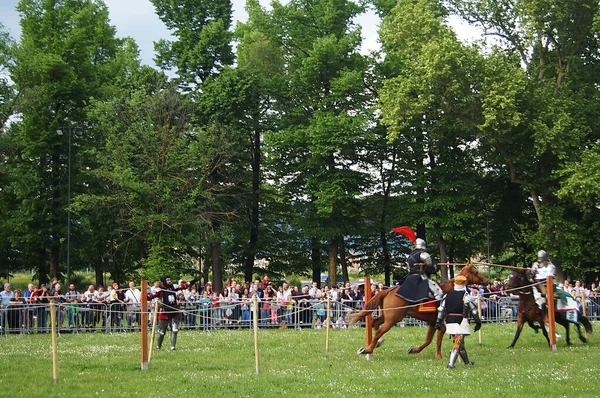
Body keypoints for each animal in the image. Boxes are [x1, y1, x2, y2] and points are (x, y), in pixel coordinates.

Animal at [352, 266, 488, 360]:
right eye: (475, 272)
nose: (486, 280)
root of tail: (388, 291)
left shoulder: (433, 323)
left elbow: (428, 340)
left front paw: (414, 350)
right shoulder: (442, 324)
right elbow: (437, 340)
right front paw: (439, 356)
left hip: (388, 316)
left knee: (375, 323)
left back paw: (375, 344)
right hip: (393, 319)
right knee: (379, 330)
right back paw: (369, 349)